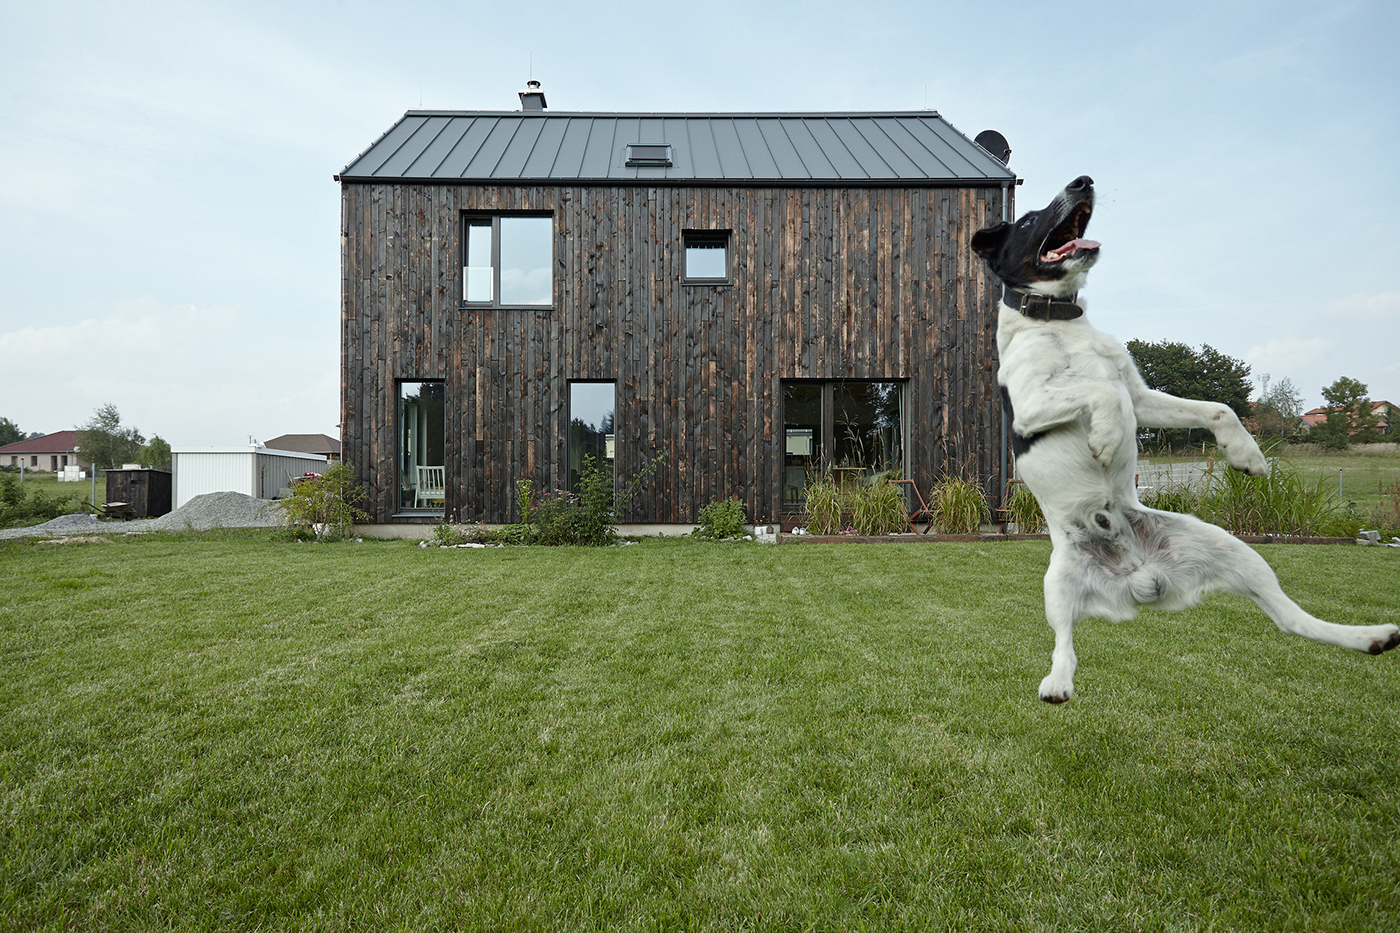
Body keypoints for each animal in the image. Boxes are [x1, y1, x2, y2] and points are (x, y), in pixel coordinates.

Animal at [974, 172, 1400, 697]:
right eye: (1029, 220)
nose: (1083, 180)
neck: (1055, 318)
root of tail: (1138, 578)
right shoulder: (1030, 406)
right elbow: (1103, 393)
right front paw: (1107, 437)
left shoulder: (1139, 395)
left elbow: (1215, 407)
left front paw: (1247, 454)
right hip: (1057, 584)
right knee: (1064, 644)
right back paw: (1057, 682)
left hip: (1235, 550)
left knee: (1290, 620)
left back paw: (1369, 636)